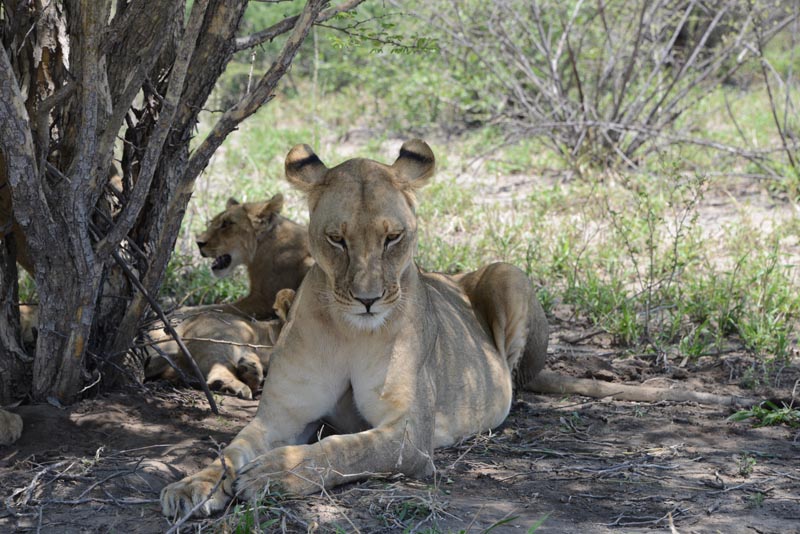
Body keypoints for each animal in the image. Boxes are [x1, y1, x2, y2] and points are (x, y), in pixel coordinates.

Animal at [160, 140, 549, 518]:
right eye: (336, 239)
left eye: (393, 237)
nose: (368, 300)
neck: (351, 332)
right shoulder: (281, 416)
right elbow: (230, 450)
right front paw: (193, 485)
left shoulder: (408, 434)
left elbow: (342, 448)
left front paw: (271, 472)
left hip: (509, 273)